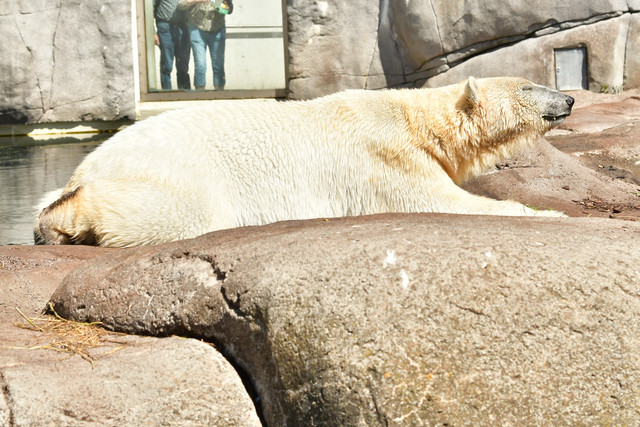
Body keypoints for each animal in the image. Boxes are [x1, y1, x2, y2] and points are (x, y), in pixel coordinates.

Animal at [34, 76, 574, 247]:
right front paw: (550, 212)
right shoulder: (386, 157)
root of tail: (86, 167)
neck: (414, 120)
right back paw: (59, 223)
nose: (568, 98)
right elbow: (438, 201)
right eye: (529, 86)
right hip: (175, 174)